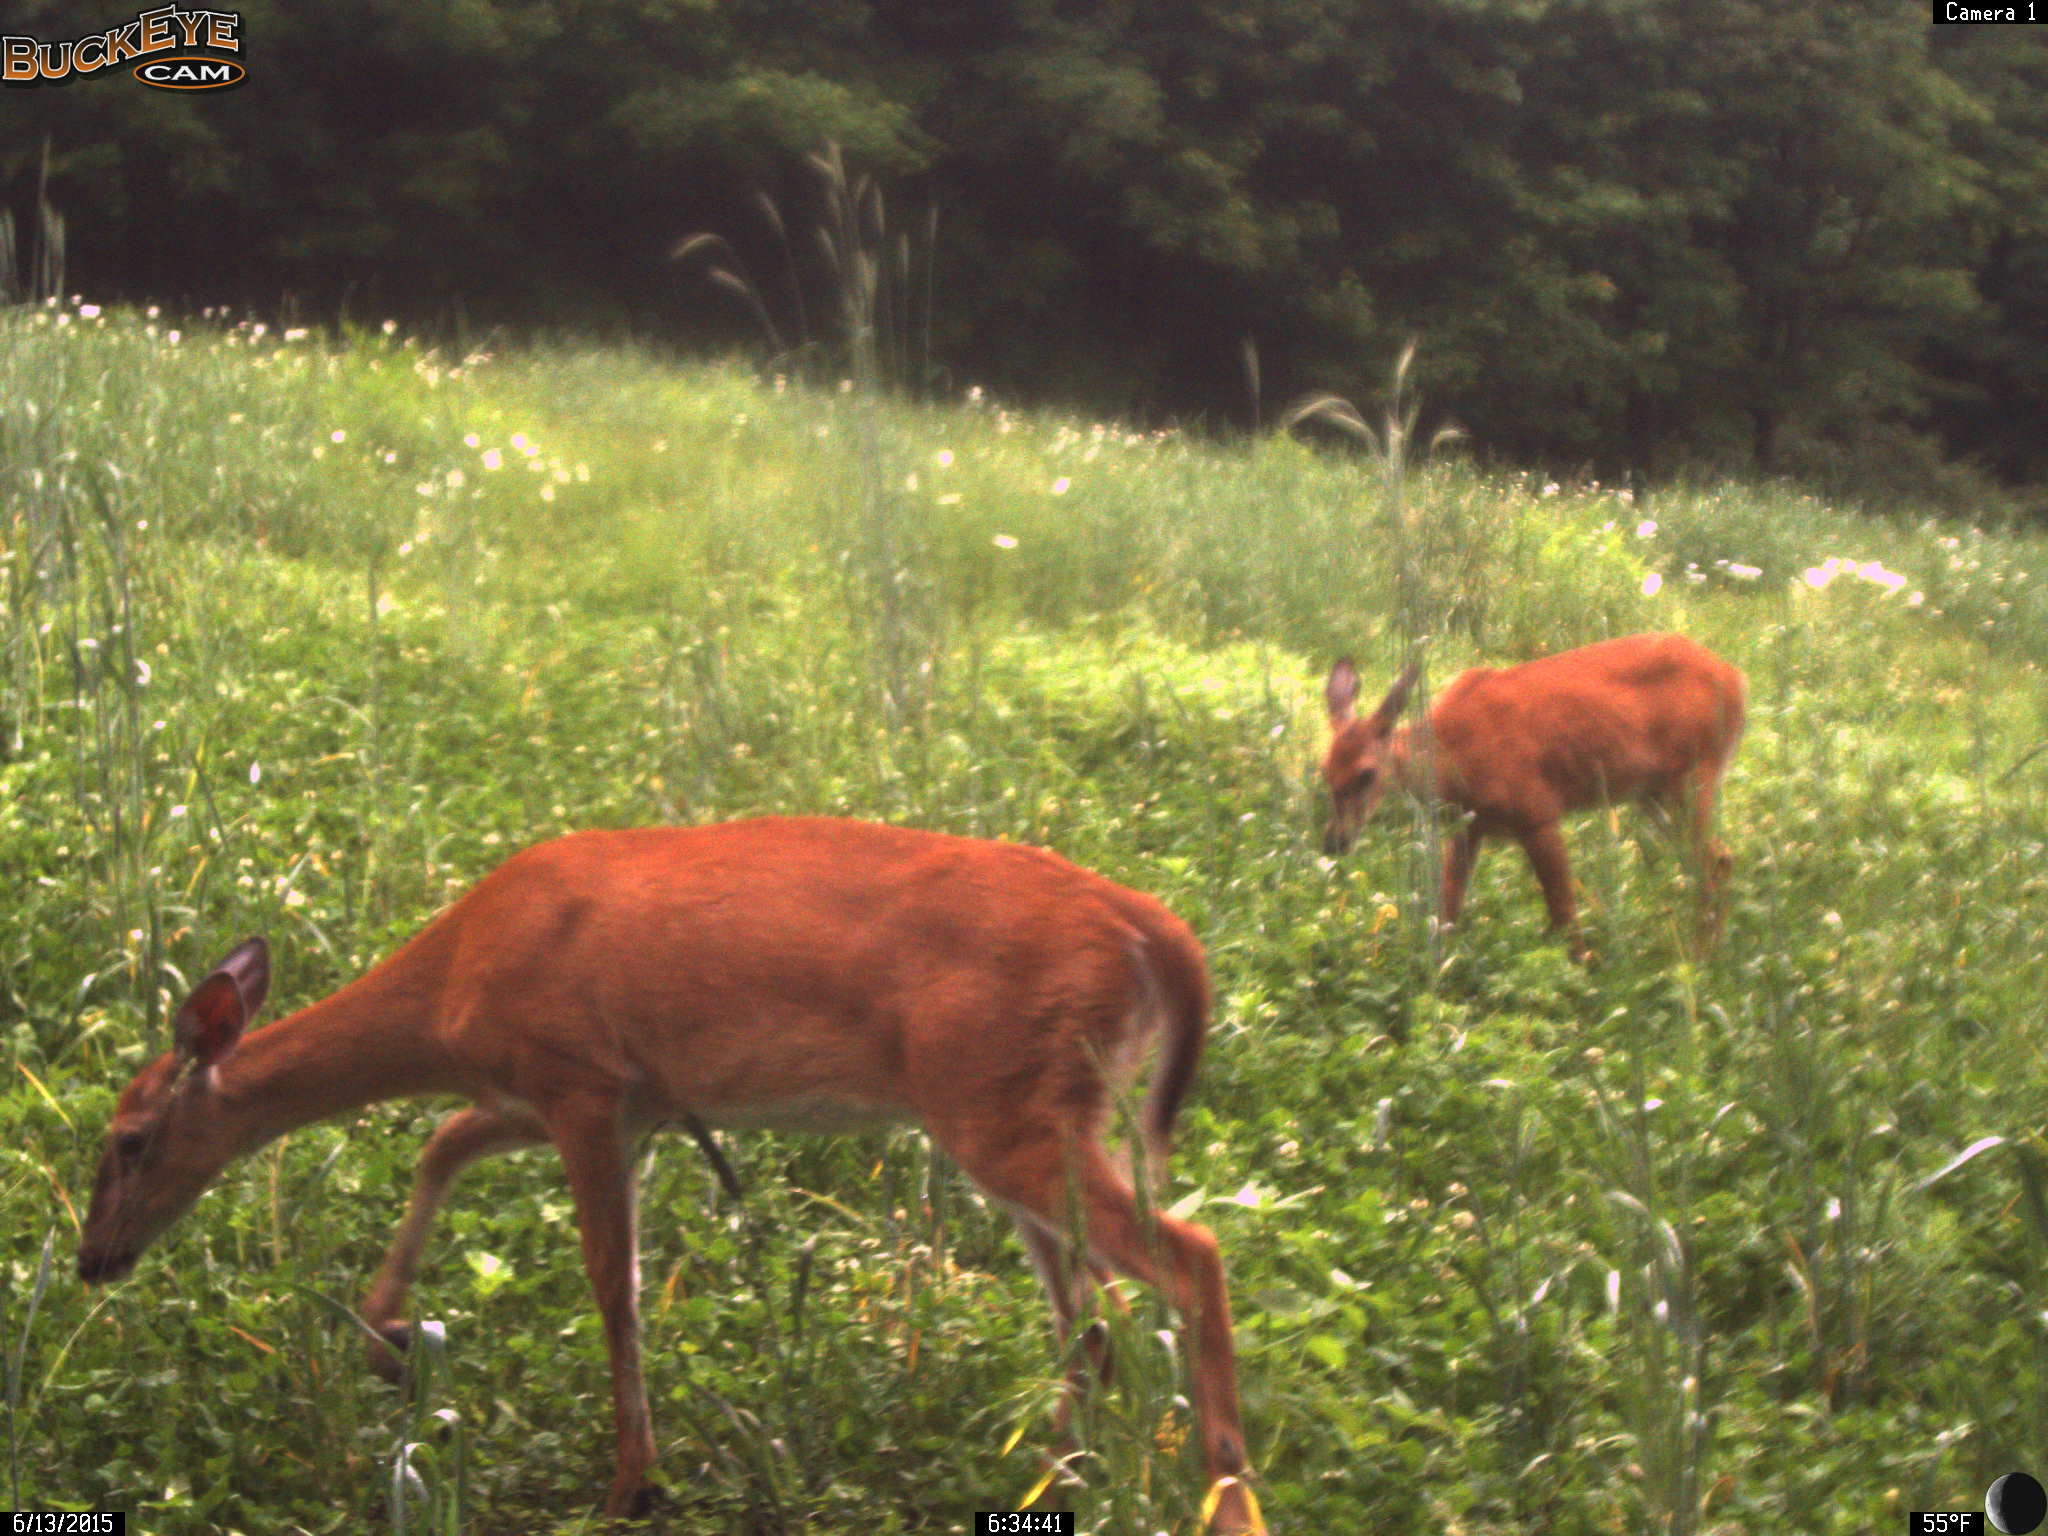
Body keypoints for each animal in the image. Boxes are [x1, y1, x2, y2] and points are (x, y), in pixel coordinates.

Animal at [79, 823, 1253, 1531]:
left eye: (128, 1139)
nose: (92, 1260)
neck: (451, 984)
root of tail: (1158, 935)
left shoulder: (580, 1079)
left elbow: (615, 1285)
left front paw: (631, 1483)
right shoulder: (586, 1097)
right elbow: (439, 1146)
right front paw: (388, 1339)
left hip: (1004, 1109)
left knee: (1190, 1259)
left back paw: (1225, 1495)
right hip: (1034, 1111)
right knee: (1091, 1324)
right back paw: (1051, 1480)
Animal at [1327, 634, 1744, 958]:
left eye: (1366, 774)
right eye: (1325, 769)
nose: (1336, 841)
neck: (1450, 757)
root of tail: (1737, 678)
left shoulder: (1537, 811)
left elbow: (1563, 908)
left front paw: (1582, 973)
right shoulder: (1468, 828)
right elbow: (1449, 907)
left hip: (1693, 775)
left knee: (1712, 860)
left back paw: (1700, 959)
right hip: (1652, 793)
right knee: (1717, 856)